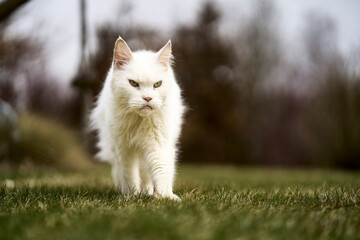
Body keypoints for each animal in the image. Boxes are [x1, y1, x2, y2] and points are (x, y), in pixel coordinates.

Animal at [90, 36, 186, 201]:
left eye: (157, 84)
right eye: (133, 83)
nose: (147, 98)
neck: (139, 120)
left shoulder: (158, 144)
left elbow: (161, 170)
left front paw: (164, 197)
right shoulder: (123, 149)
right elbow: (129, 175)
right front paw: (131, 195)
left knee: (147, 174)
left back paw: (147, 191)